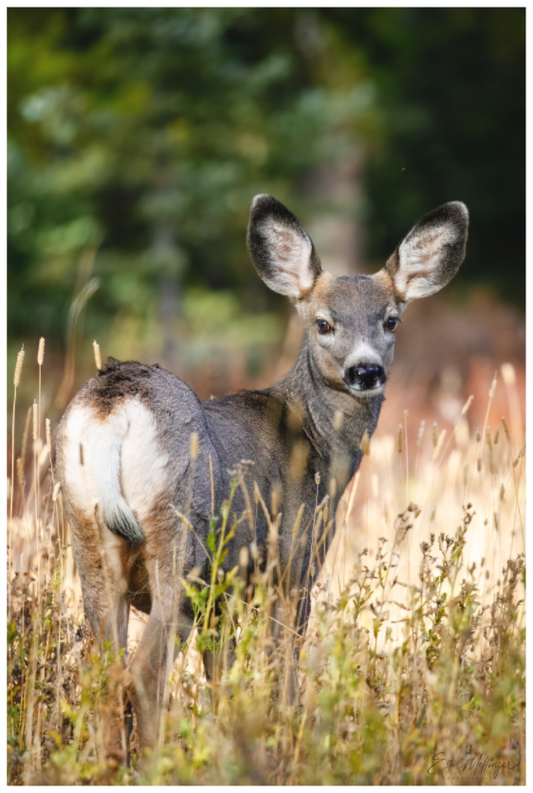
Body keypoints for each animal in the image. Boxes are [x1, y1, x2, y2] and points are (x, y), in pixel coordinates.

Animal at [56, 194, 468, 755]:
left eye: (391, 321)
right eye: (323, 323)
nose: (366, 371)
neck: (318, 444)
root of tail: (112, 405)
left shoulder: (226, 597)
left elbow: (223, 677)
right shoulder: (292, 564)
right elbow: (281, 671)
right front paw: (284, 742)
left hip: (90, 538)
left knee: (103, 674)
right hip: (183, 546)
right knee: (145, 672)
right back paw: (156, 762)